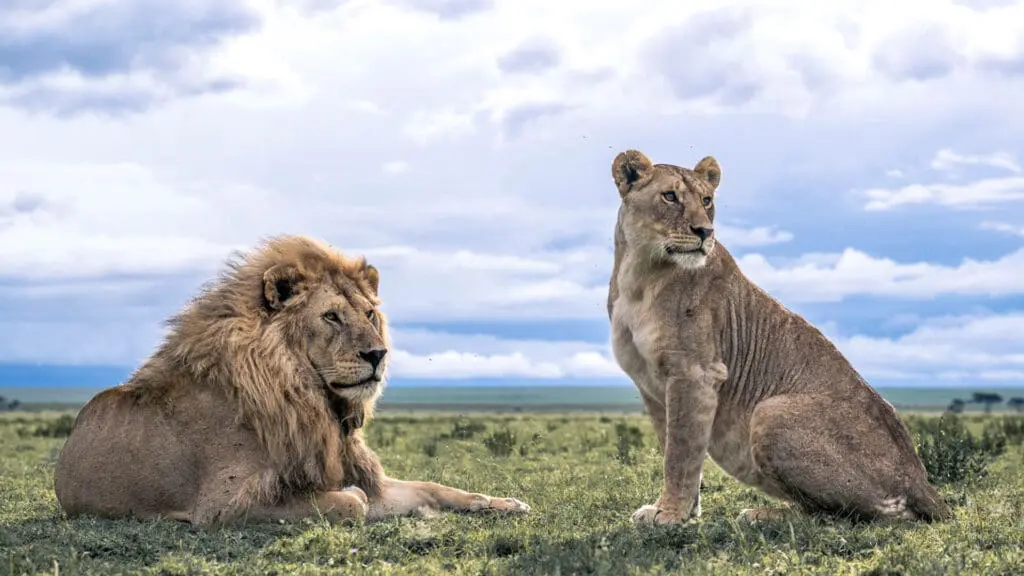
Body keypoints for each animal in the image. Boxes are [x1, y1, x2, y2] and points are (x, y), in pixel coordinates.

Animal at [54, 235, 530, 526]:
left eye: (369, 313)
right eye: (332, 316)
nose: (377, 354)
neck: (313, 400)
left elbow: (435, 488)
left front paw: (503, 502)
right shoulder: (221, 506)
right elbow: (351, 502)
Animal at [606, 150, 950, 525]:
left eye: (707, 200)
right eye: (670, 196)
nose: (705, 231)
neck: (640, 274)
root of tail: (920, 478)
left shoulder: (695, 372)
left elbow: (679, 454)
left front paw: (670, 515)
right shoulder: (652, 384)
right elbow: (676, 446)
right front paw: (683, 511)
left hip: (771, 411)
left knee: (842, 515)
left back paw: (762, 514)